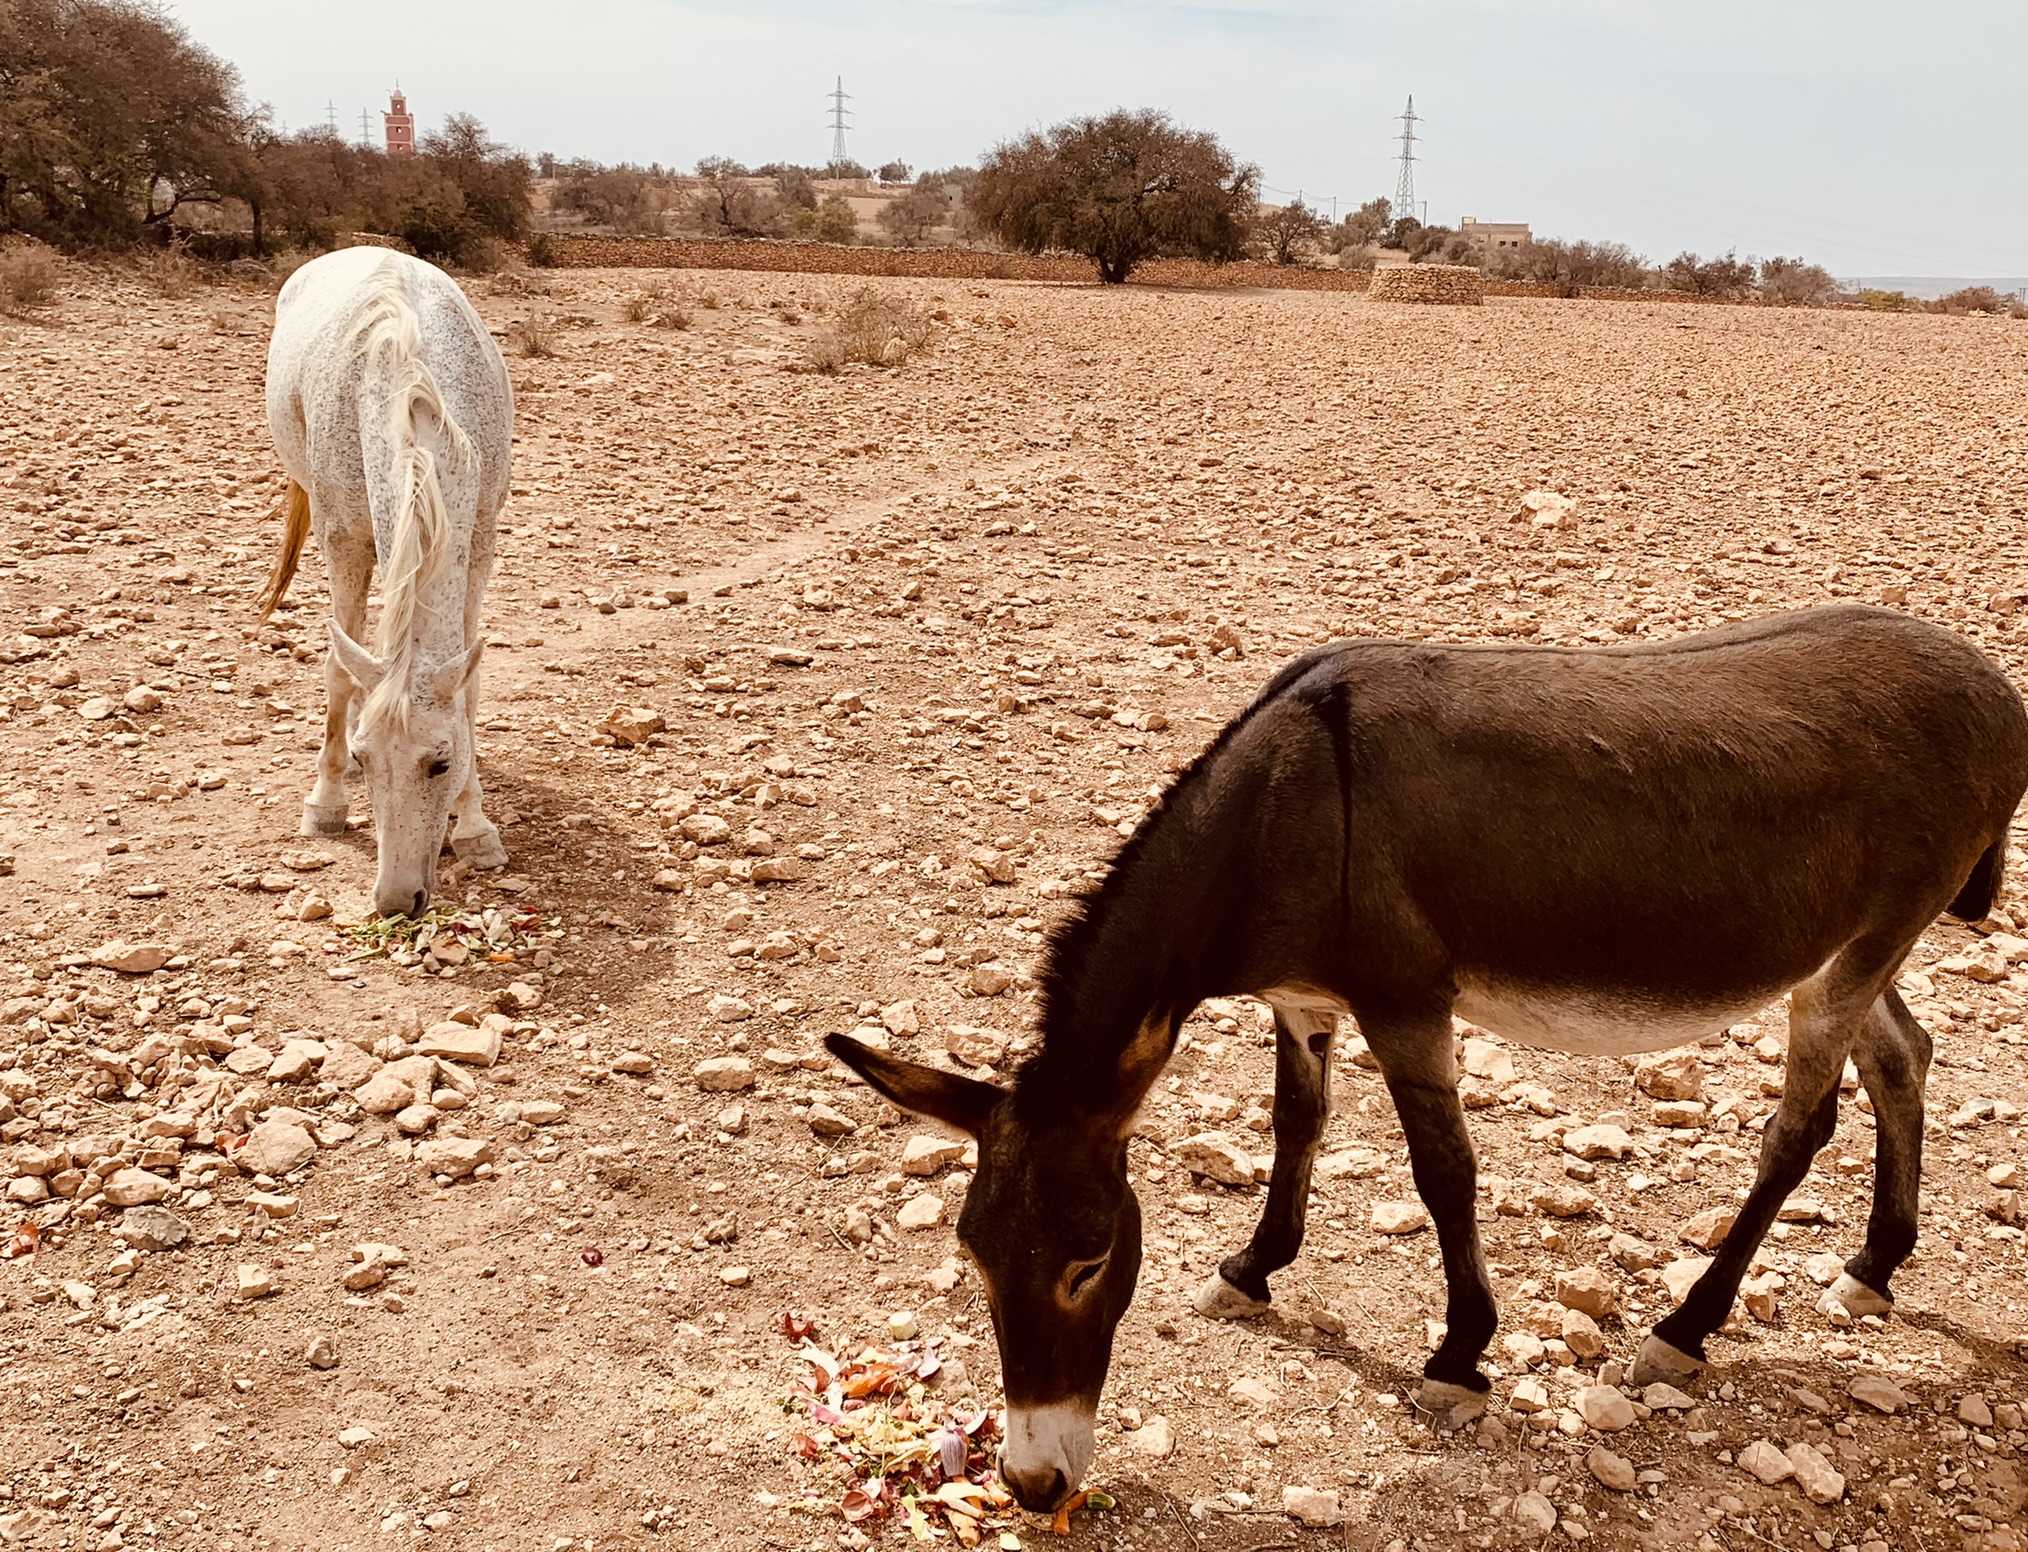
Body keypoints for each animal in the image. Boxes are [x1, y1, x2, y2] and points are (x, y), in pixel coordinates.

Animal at [258, 247, 514, 918]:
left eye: (441, 763)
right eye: (367, 758)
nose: (398, 901)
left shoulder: (479, 544)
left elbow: (468, 691)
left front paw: (475, 829)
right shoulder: (343, 541)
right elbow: (337, 668)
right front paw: (325, 801)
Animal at [827, 604, 2028, 1513]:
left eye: (1087, 1258)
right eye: (975, 1256)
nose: (1032, 1485)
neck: (1281, 810)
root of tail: (1994, 686)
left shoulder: (1407, 1002)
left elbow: (1442, 1169)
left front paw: (1460, 1357)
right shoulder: (1304, 1000)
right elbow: (1297, 1125)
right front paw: (1252, 1269)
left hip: (1861, 945)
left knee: (1802, 1124)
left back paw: (1686, 1330)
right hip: (1846, 951)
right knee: (1903, 1056)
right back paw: (1875, 1263)